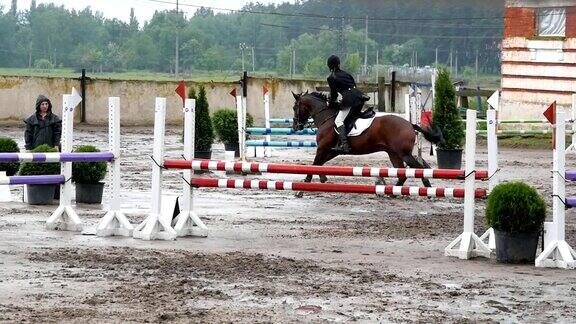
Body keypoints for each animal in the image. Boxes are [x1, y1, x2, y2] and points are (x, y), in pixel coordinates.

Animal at [292, 91, 446, 187]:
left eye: (294, 107)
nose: (296, 126)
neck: (326, 117)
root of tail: (409, 124)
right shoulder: (332, 150)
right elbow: (320, 163)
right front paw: (323, 177)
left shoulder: (323, 147)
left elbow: (315, 163)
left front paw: (306, 181)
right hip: (394, 153)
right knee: (403, 173)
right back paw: (392, 191)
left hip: (404, 154)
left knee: (418, 168)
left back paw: (426, 185)